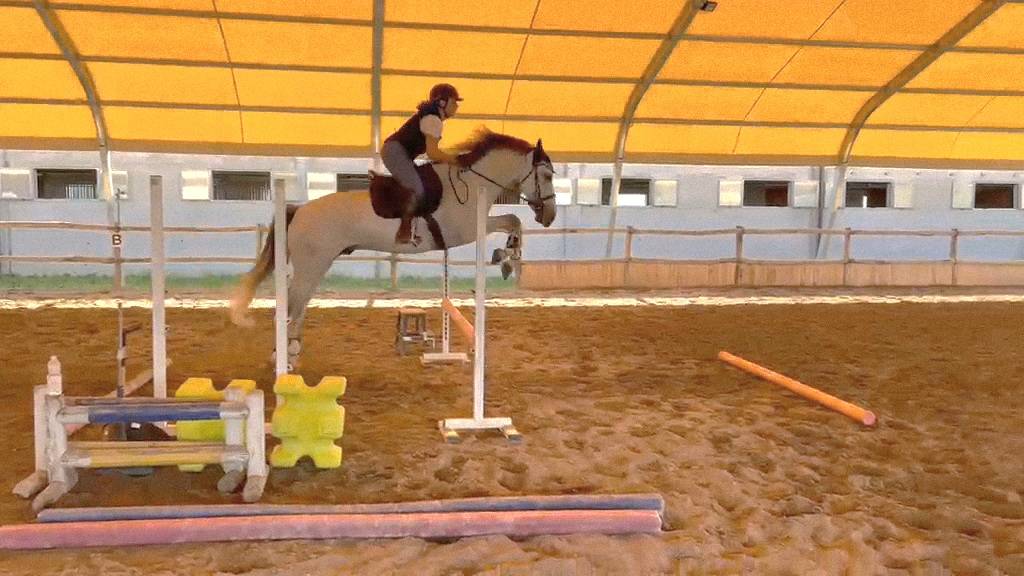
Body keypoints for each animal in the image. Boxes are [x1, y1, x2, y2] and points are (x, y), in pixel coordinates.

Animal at [229, 129, 557, 366]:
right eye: (546, 175)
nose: (550, 217)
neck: (472, 182)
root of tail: (299, 209)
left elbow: (513, 221)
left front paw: (508, 255)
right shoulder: (465, 230)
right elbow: (513, 219)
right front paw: (506, 257)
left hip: (317, 266)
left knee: (298, 306)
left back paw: (291, 352)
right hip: (312, 265)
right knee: (290, 307)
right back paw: (283, 358)